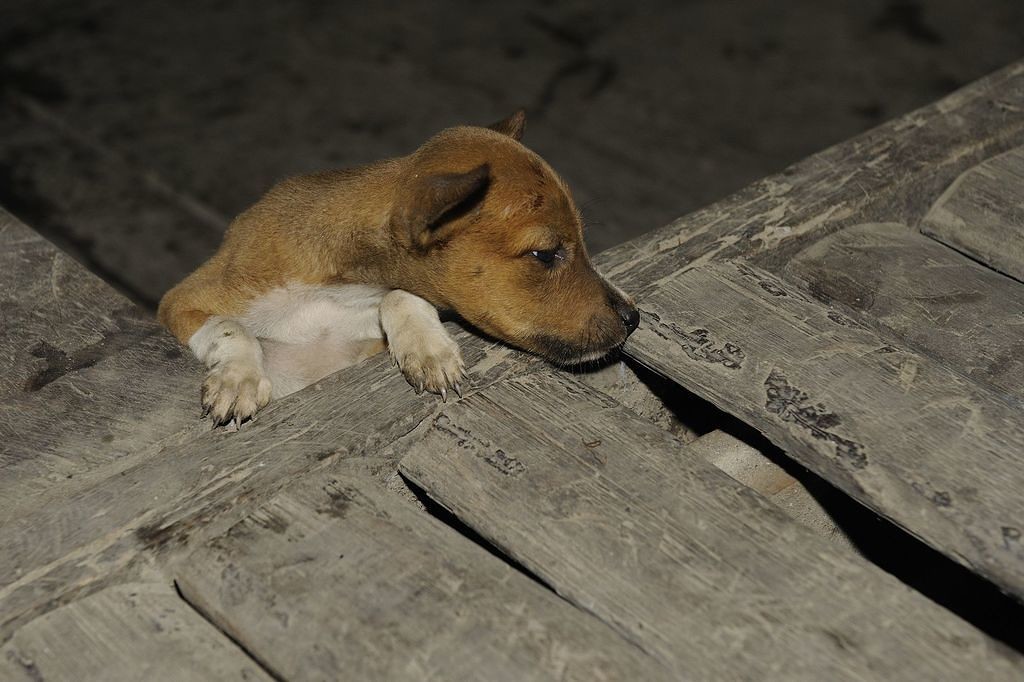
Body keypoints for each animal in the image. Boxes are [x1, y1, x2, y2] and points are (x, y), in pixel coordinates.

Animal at [157, 113, 638, 425]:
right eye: (545, 254)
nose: (634, 318)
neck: (335, 292)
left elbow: (401, 295)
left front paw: (426, 348)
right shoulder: (181, 302)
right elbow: (231, 328)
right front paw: (237, 379)